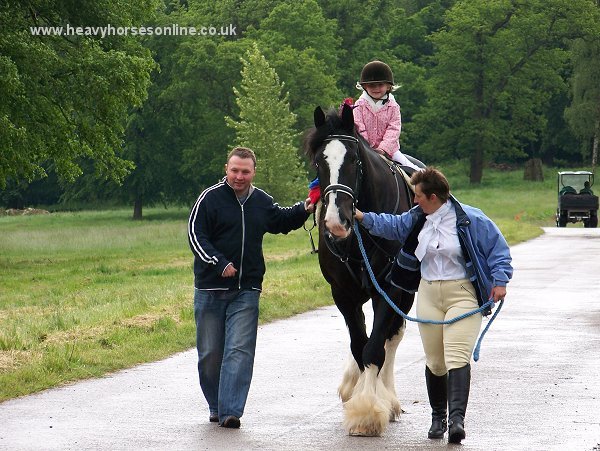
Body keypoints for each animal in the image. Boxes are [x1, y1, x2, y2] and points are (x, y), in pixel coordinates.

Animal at [304, 105, 418, 438]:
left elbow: (375, 348)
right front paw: (359, 398)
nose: (336, 221)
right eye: (319, 161)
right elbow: (359, 344)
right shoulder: (343, 293)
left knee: (391, 338)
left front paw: (368, 410)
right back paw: (352, 386)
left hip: (405, 293)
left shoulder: (389, 290)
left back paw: (388, 398)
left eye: (354, 159)